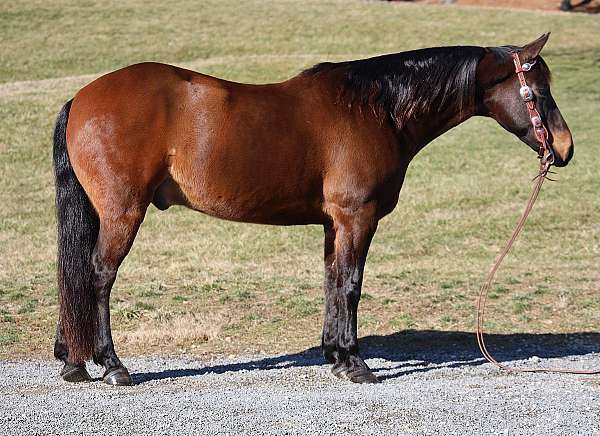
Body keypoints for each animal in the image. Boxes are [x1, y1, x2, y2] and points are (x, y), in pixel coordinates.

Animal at [51, 33, 572, 384]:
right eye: (539, 91)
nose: (565, 149)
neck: (376, 109)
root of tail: (83, 97)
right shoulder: (356, 217)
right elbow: (351, 284)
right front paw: (355, 363)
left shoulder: (332, 222)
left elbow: (331, 282)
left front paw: (334, 355)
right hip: (122, 213)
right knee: (97, 276)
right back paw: (112, 365)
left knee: (76, 274)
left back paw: (74, 362)